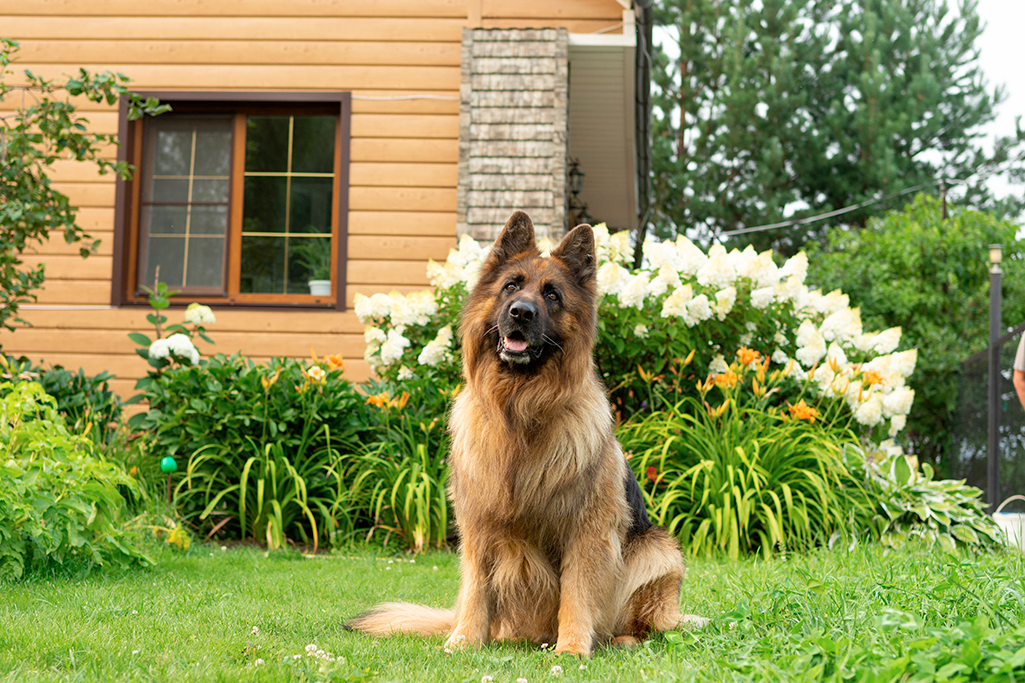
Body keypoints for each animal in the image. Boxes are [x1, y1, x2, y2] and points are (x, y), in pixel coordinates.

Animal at [348, 213, 701, 656]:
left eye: (552, 295)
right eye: (511, 287)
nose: (520, 313)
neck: (518, 409)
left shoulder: (588, 532)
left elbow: (577, 593)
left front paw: (572, 648)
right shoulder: (478, 526)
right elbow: (475, 588)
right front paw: (464, 640)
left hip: (659, 551)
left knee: (641, 620)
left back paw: (620, 639)